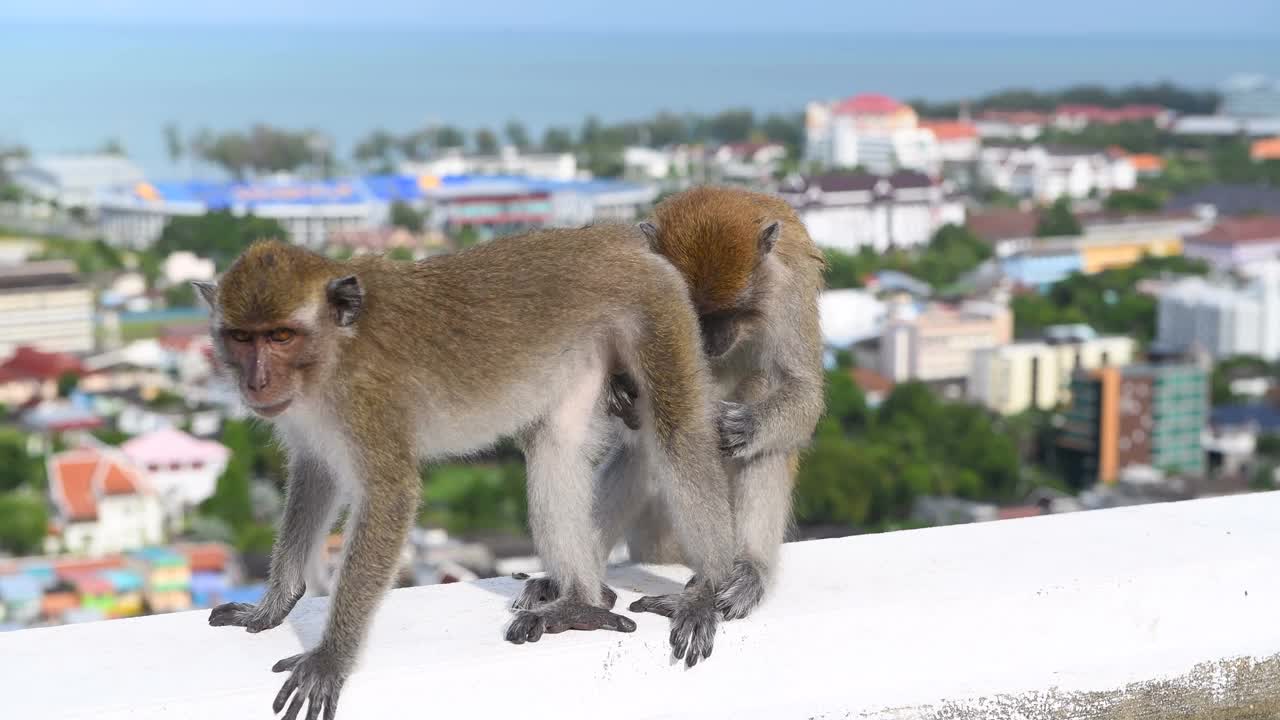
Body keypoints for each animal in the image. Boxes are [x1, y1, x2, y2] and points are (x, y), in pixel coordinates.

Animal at [199, 230, 742, 717]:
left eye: (281, 336)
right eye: (242, 337)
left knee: (677, 434)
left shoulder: (367, 400)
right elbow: (315, 473)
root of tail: (616, 237)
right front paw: (274, 604)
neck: (335, 349)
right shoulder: (309, 418)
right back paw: (584, 602)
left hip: (655, 307)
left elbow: (391, 495)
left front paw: (331, 658)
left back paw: (708, 590)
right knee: (554, 447)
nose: (256, 381)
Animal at [512, 184, 824, 622]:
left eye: (728, 313)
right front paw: (616, 385)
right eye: (692, 310)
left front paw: (743, 426)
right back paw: (566, 582)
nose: (709, 341)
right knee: (646, 444)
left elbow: (803, 390)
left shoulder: (788, 290)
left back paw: (749, 569)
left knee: (762, 403)